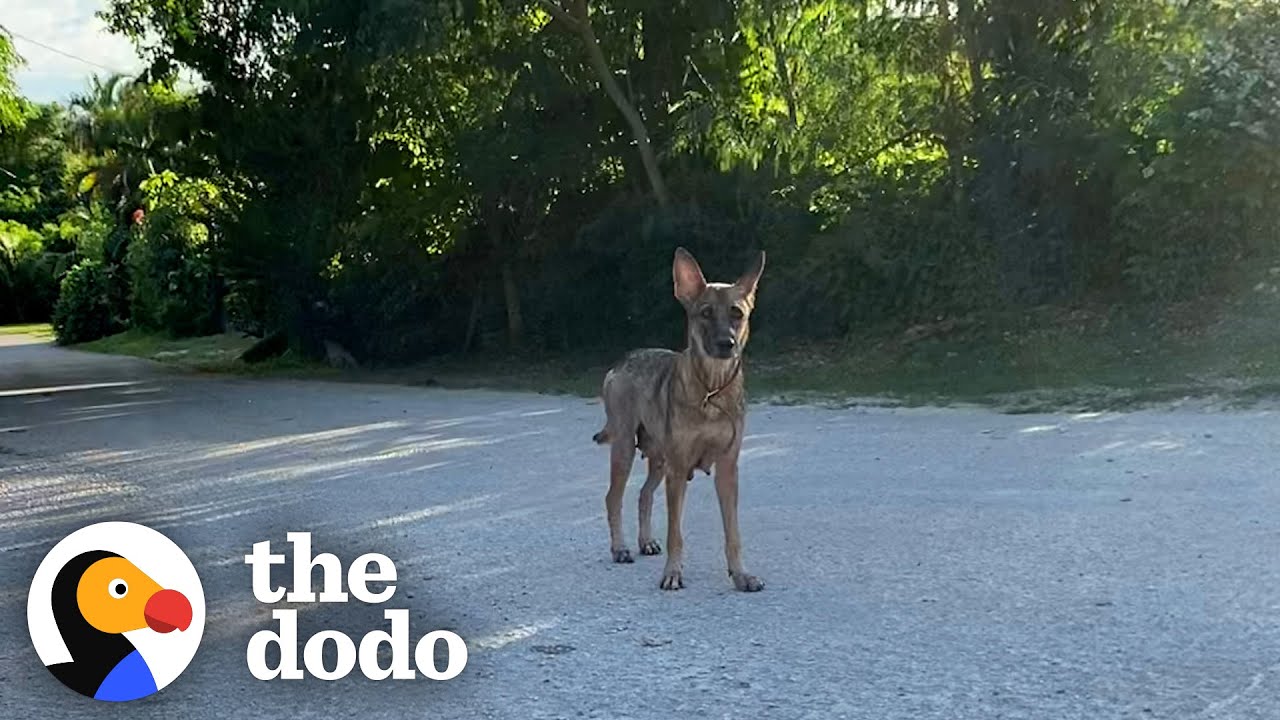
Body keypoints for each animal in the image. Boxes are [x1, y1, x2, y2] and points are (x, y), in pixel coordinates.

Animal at [591, 245, 762, 589]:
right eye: (705, 313)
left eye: (737, 313)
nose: (726, 344)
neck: (711, 391)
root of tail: (622, 361)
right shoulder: (679, 469)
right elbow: (675, 533)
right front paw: (672, 573)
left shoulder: (727, 469)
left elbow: (733, 533)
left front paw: (741, 574)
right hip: (626, 450)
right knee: (612, 498)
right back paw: (620, 548)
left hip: (659, 460)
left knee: (643, 495)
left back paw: (645, 542)